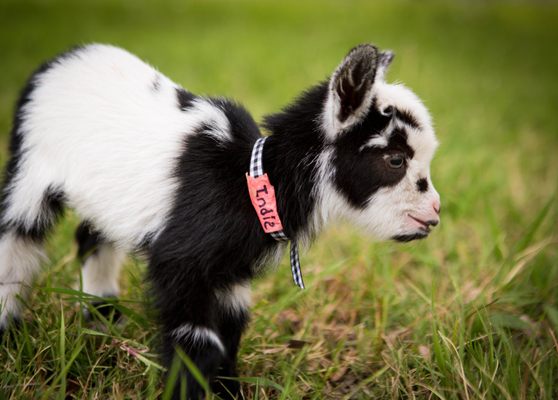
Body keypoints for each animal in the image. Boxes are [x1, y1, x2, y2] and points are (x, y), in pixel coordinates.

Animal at [0, 42, 442, 398]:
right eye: (395, 160)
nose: (435, 213)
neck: (255, 180)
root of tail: (60, 62)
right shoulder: (180, 263)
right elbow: (200, 341)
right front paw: (190, 390)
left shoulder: (229, 273)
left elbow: (229, 334)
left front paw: (230, 391)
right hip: (31, 168)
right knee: (17, 238)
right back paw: (10, 331)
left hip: (105, 198)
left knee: (91, 236)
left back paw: (103, 319)